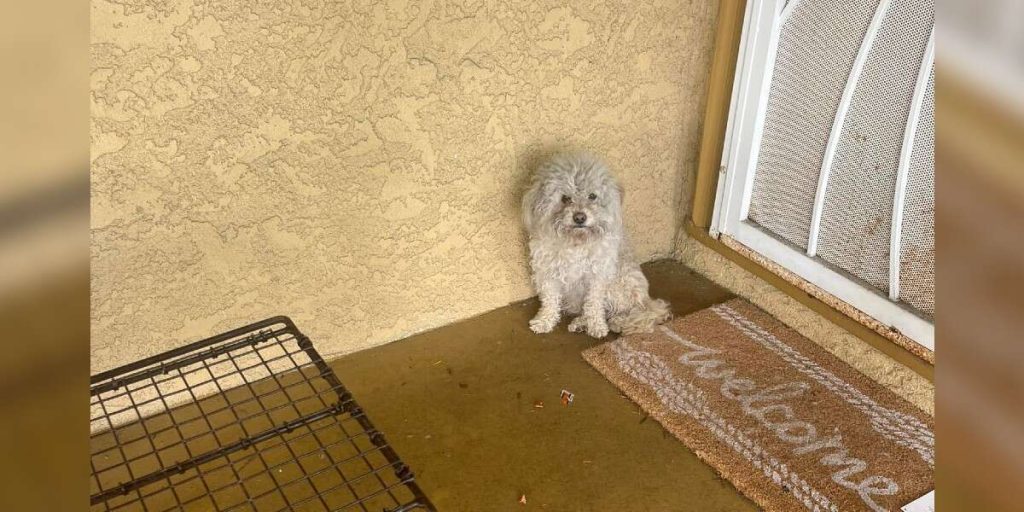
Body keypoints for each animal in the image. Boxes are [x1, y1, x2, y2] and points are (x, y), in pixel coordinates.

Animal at [520, 150, 671, 339]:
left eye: (592, 196)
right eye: (565, 198)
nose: (579, 217)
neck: (576, 241)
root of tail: (646, 300)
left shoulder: (597, 276)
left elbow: (594, 304)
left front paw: (597, 326)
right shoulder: (548, 273)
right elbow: (550, 301)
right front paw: (544, 321)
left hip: (619, 283)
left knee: (626, 312)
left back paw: (609, 322)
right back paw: (580, 323)